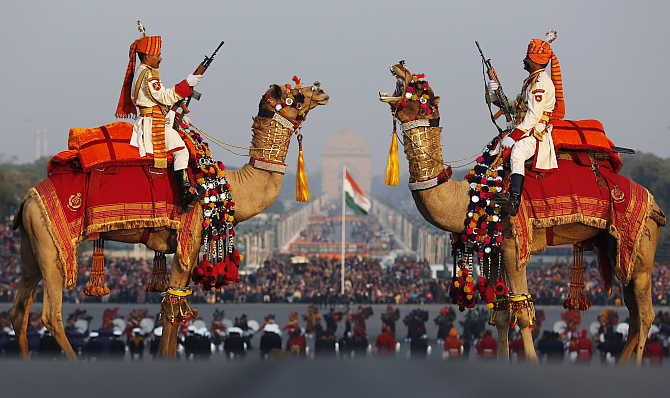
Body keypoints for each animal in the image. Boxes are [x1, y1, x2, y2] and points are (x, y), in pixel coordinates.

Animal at [7, 79, 328, 360]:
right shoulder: (189, 237)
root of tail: (28, 198)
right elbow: (174, 302)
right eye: (296, 95)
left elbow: (177, 301)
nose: (321, 91)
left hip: (31, 244)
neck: (227, 186)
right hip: (52, 244)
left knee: (19, 310)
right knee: (51, 314)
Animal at [380, 61, 668, 364]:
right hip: (617, 248)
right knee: (633, 311)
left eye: (419, 89)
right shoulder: (495, 246)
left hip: (641, 246)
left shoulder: (512, 244)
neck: (472, 197)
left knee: (645, 313)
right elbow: (502, 310)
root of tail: (655, 204)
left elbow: (521, 309)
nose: (399, 66)